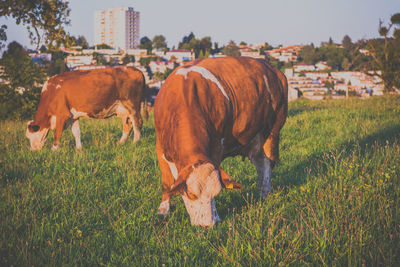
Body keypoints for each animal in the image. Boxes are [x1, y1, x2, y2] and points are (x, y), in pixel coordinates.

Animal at [153, 57, 288, 228]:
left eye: (216, 193)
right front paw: (163, 210)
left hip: (273, 132)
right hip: (255, 137)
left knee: (268, 163)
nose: (208, 225)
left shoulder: (216, 146)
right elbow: (167, 182)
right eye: (190, 194)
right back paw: (260, 193)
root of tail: (273, 69)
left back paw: (264, 191)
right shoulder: (160, 146)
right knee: (261, 161)